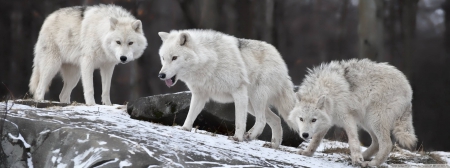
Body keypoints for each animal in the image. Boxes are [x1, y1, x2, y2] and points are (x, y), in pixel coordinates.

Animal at [156, 29, 298, 148]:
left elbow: (239, 121)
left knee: (262, 120)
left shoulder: (238, 92)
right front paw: (185, 129)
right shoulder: (199, 95)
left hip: (255, 98)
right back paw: (273, 145)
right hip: (251, 103)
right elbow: (190, 115)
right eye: (163, 58)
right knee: (276, 119)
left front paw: (237, 138)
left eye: (174, 57)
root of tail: (280, 58)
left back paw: (250, 136)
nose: (161, 75)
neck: (210, 60)